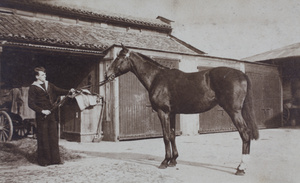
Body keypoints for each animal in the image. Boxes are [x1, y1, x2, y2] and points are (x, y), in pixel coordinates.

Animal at [105, 45, 258, 175]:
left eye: (118, 58)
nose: (107, 74)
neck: (157, 77)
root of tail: (242, 74)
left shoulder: (163, 113)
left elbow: (166, 136)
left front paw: (165, 162)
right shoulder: (172, 113)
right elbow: (172, 135)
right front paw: (173, 160)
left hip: (234, 111)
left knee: (245, 133)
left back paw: (241, 168)